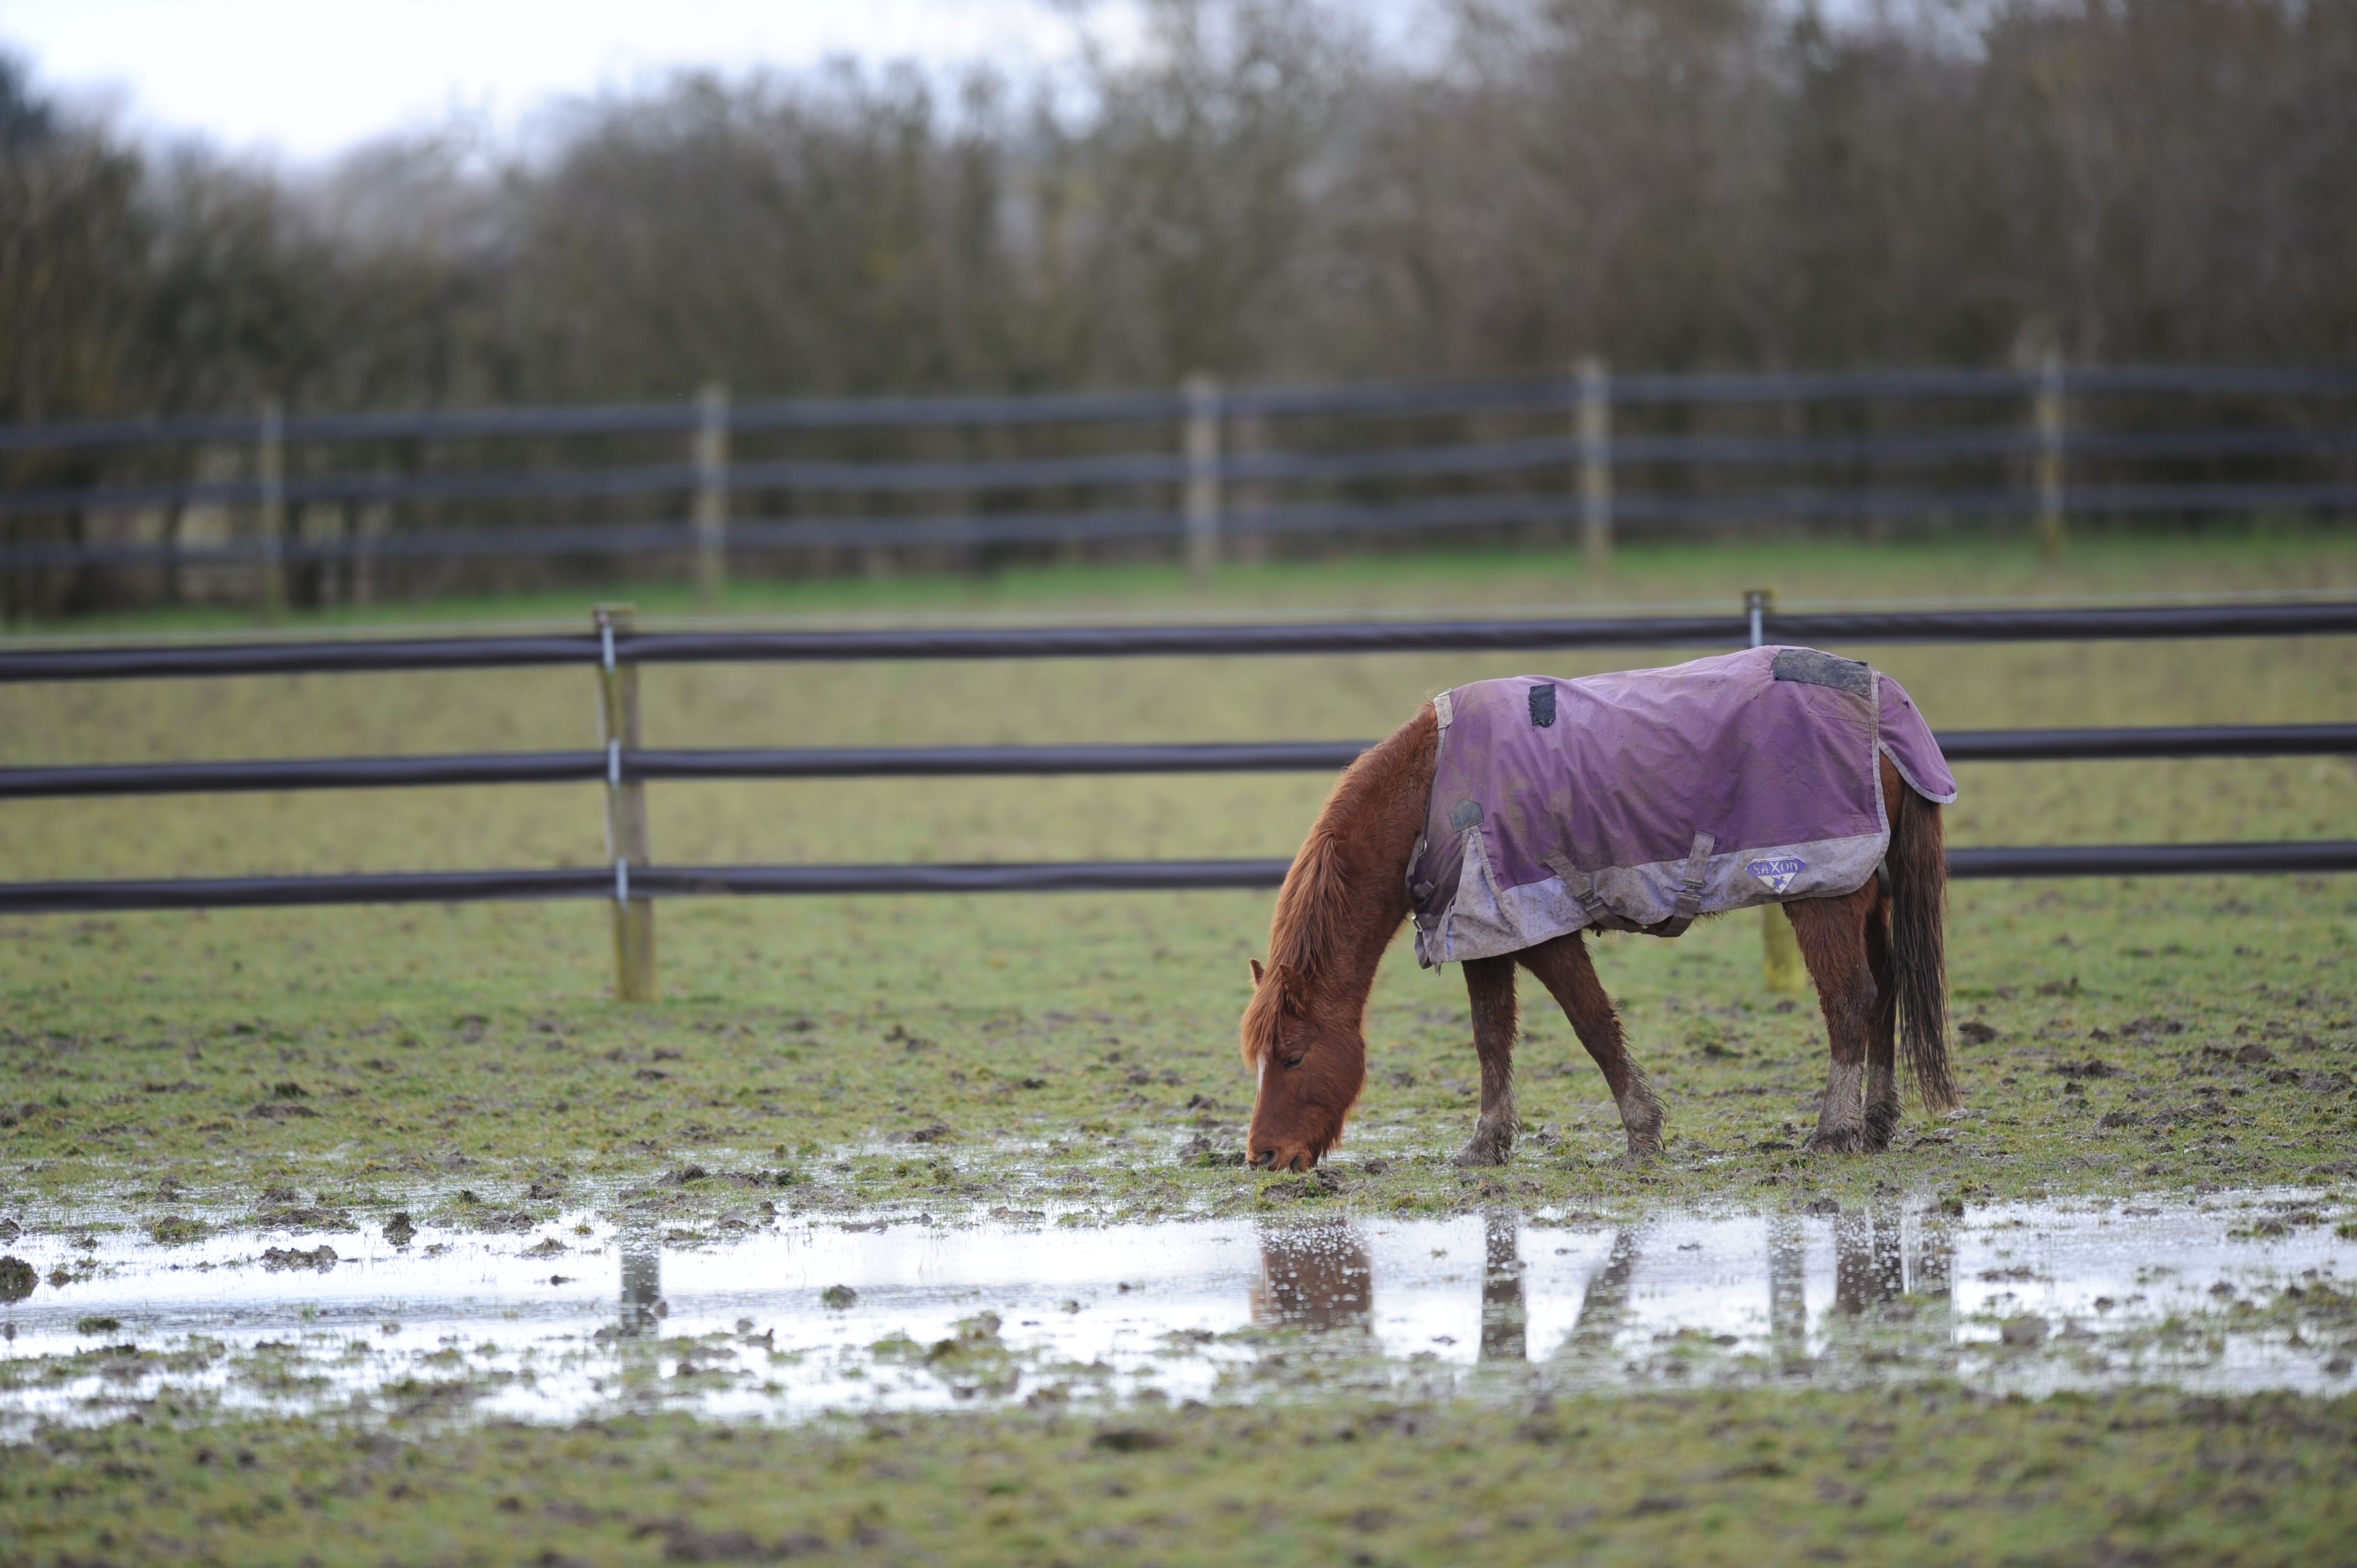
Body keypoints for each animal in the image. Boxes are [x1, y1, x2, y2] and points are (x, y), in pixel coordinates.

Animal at [1240, 654, 1956, 1172]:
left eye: (1294, 1057)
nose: (1263, 1157)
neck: (1432, 794)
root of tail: (1886, 709)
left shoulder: (1542, 932)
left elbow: (1592, 1026)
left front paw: (1642, 1132)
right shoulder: (1486, 936)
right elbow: (1489, 1037)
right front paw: (1485, 1145)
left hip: (1824, 896)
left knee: (1849, 1000)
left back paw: (1834, 1131)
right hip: (1866, 893)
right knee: (1885, 989)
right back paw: (1874, 1123)